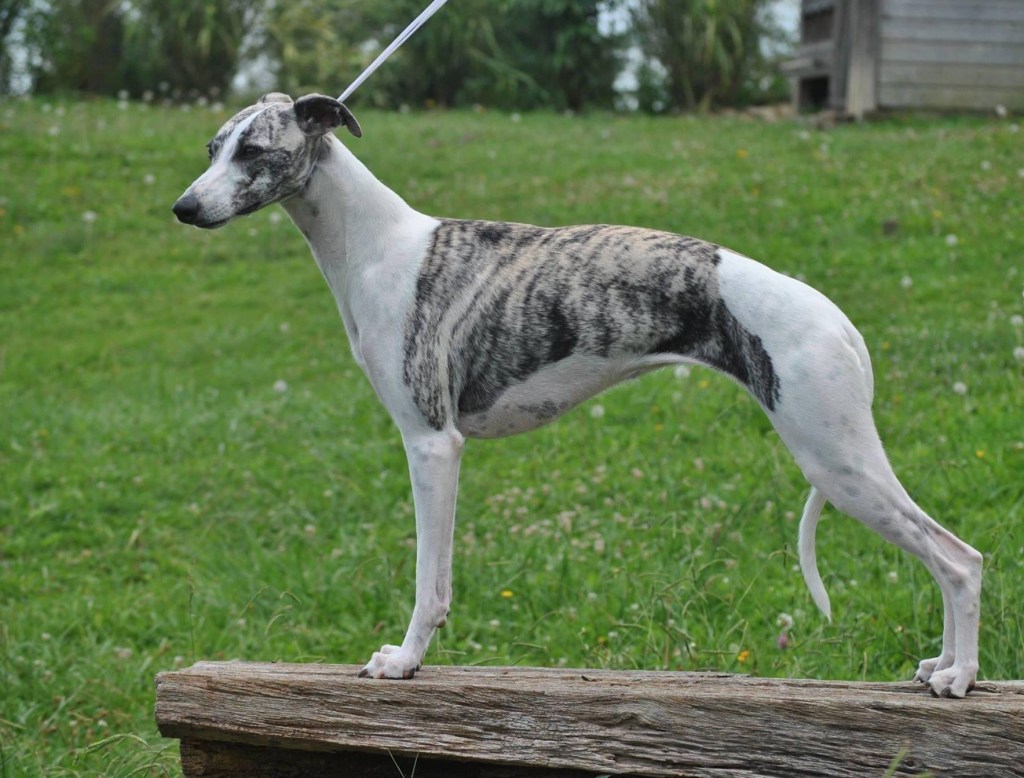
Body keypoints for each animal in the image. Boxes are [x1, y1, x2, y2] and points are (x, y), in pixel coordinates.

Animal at [172, 93, 982, 697]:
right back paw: (940, 666)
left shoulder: (433, 443)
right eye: (213, 147)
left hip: (836, 459)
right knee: (946, 556)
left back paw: (961, 676)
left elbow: (430, 582)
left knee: (959, 559)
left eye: (254, 151)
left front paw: (403, 661)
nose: (183, 208)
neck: (376, 246)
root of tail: (838, 321)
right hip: (841, 458)